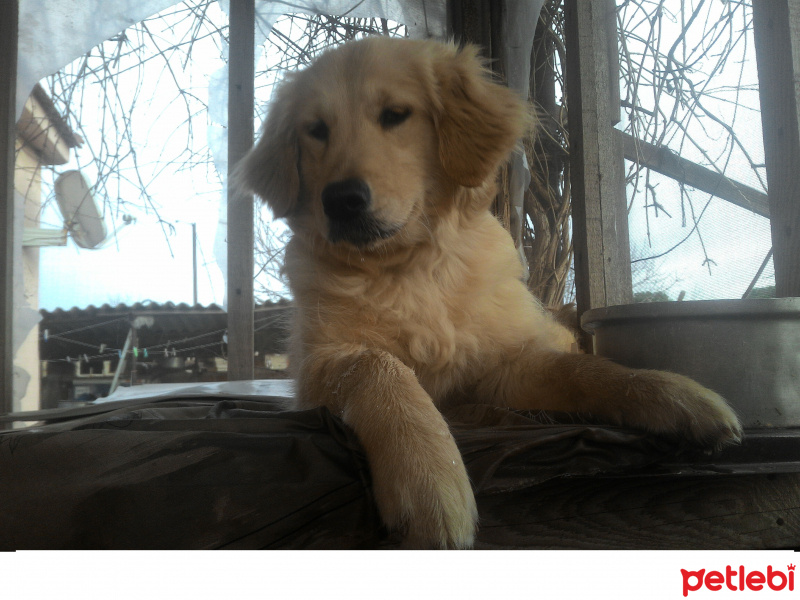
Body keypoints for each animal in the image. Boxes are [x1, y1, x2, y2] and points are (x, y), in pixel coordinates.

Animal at [234, 36, 740, 548]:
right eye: (316, 130)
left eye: (396, 114)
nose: (340, 201)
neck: (409, 270)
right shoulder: (317, 369)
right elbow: (377, 364)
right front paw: (428, 473)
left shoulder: (503, 368)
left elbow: (587, 370)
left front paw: (675, 395)